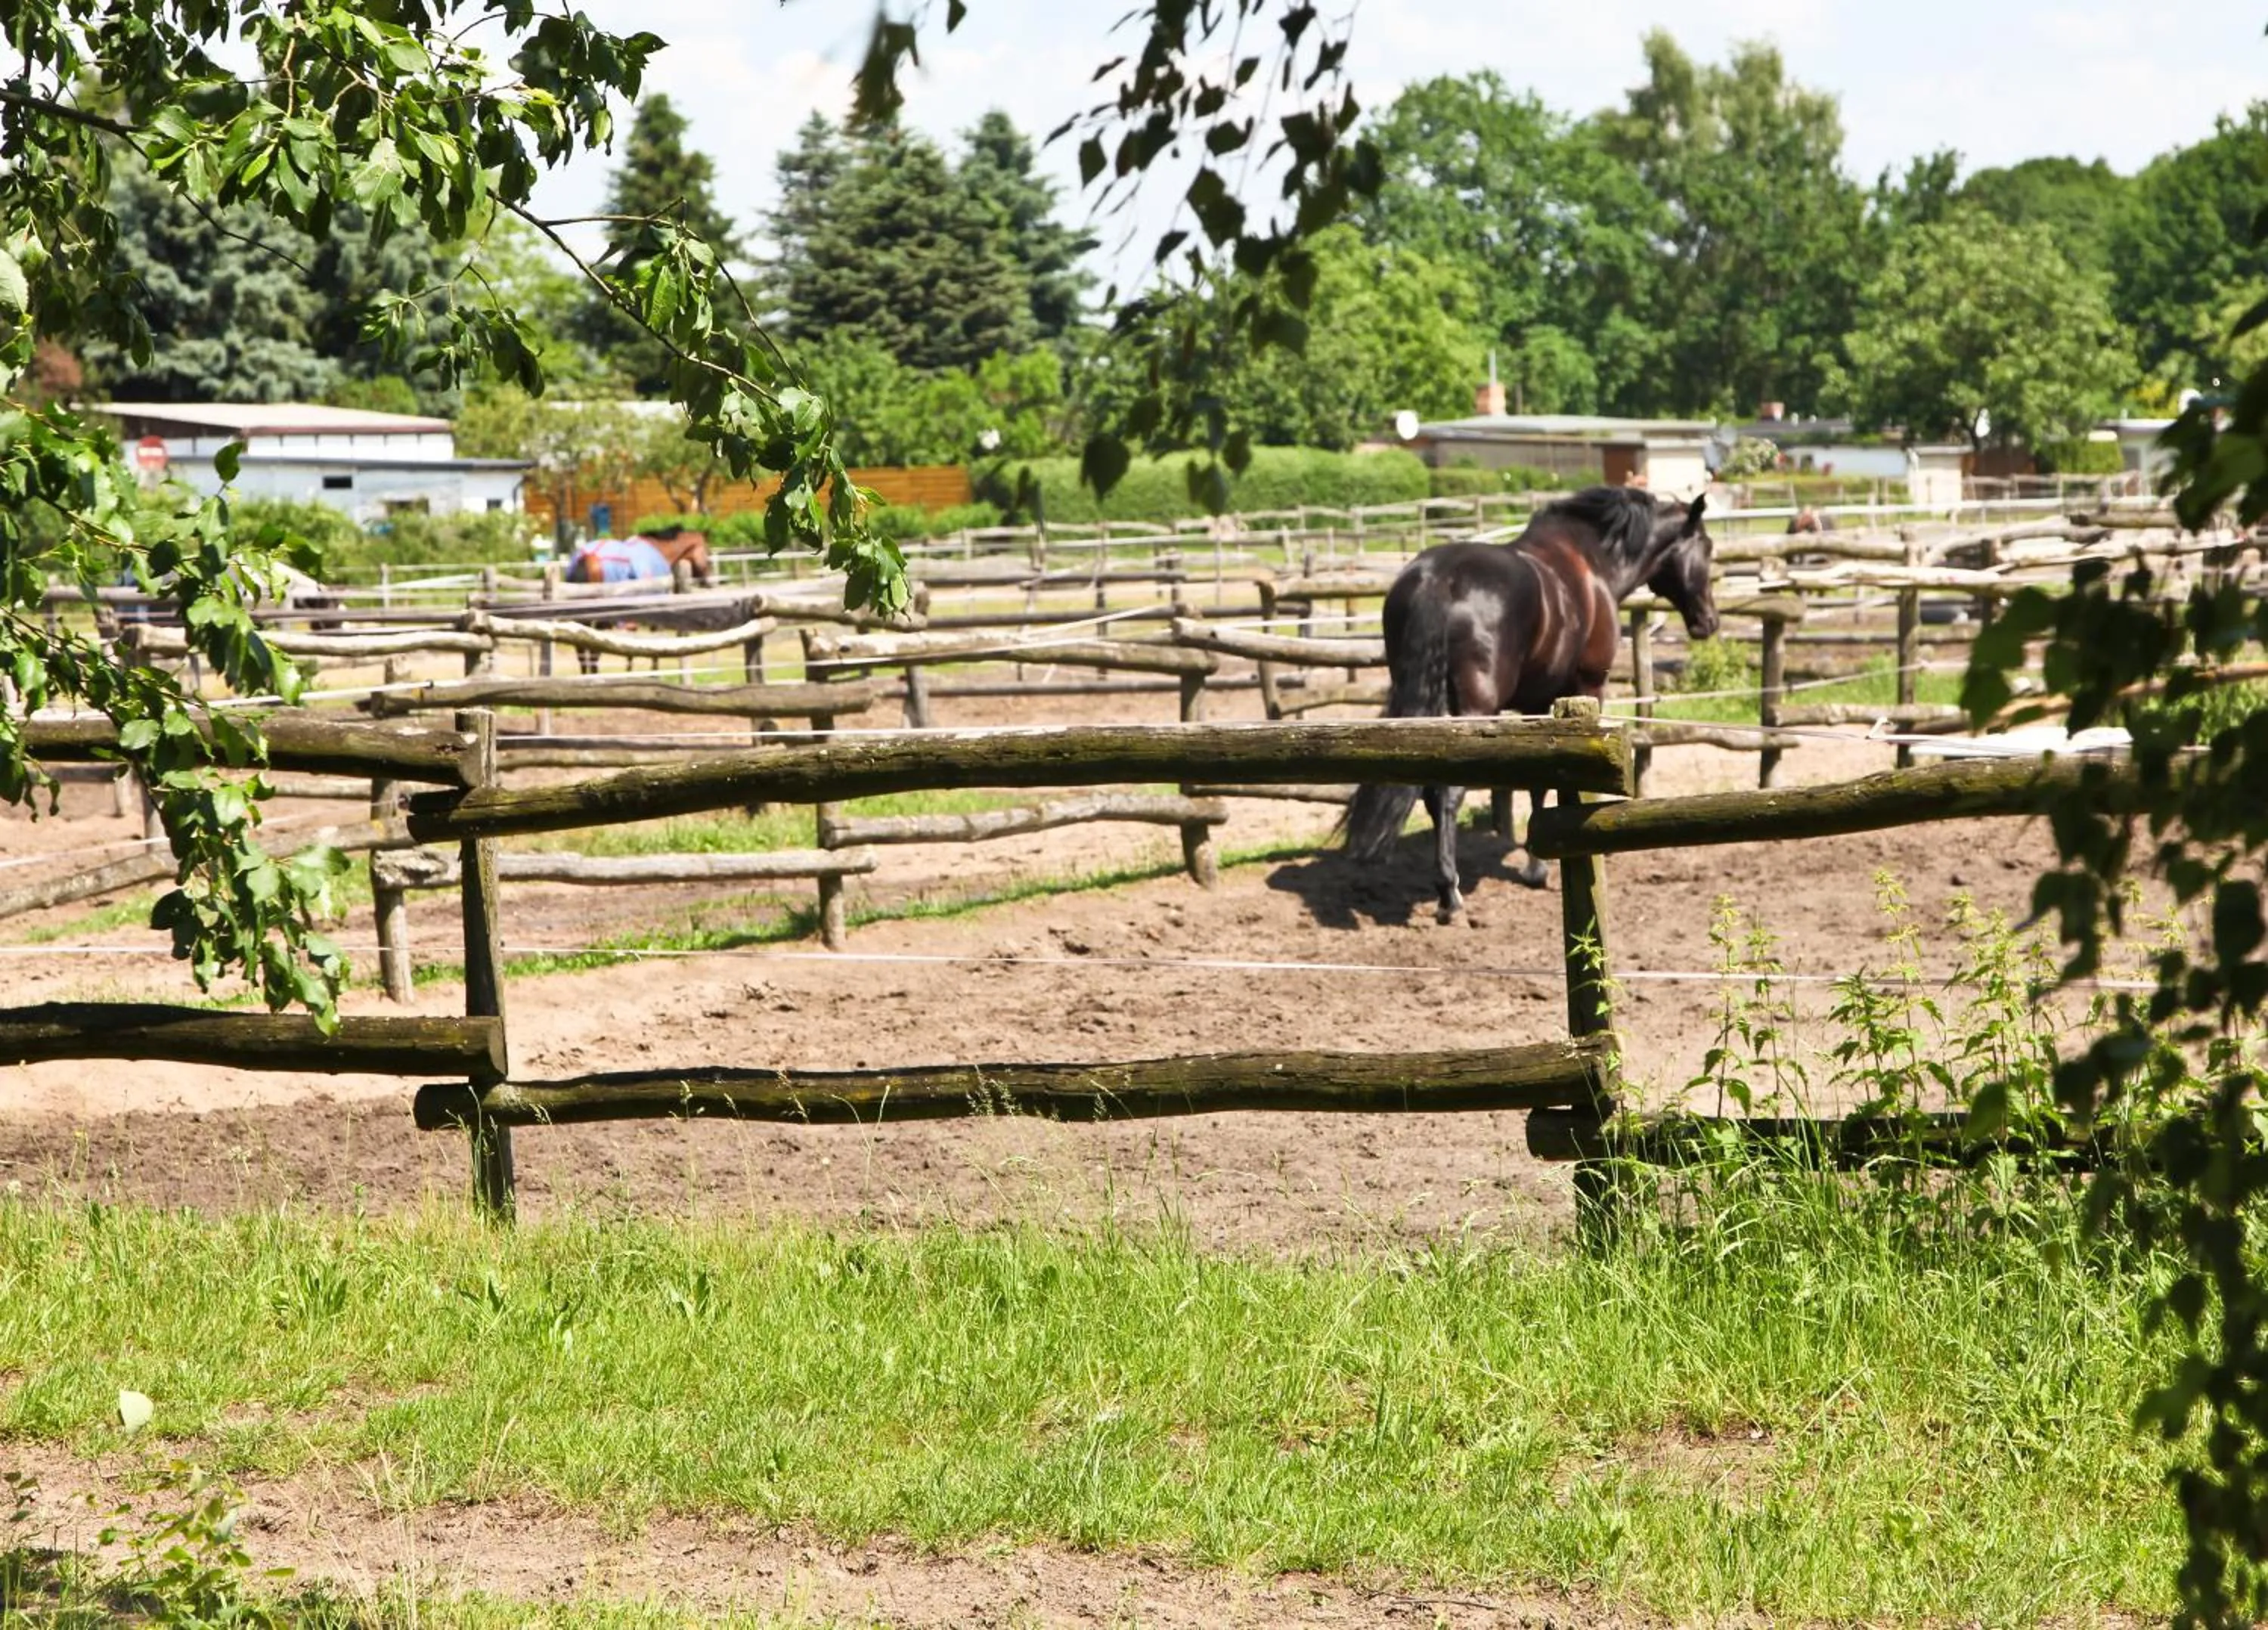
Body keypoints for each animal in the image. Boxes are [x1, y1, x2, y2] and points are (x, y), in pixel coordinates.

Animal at [1341, 486, 1720, 924]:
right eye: (1707, 546)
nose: (1709, 621)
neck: (1592, 563)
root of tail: (1437, 579)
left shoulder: (1534, 704)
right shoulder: (1584, 687)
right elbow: (1542, 783)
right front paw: (1538, 868)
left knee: (1432, 793)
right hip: (1472, 710)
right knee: (1447, 794)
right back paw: (1450, 896)